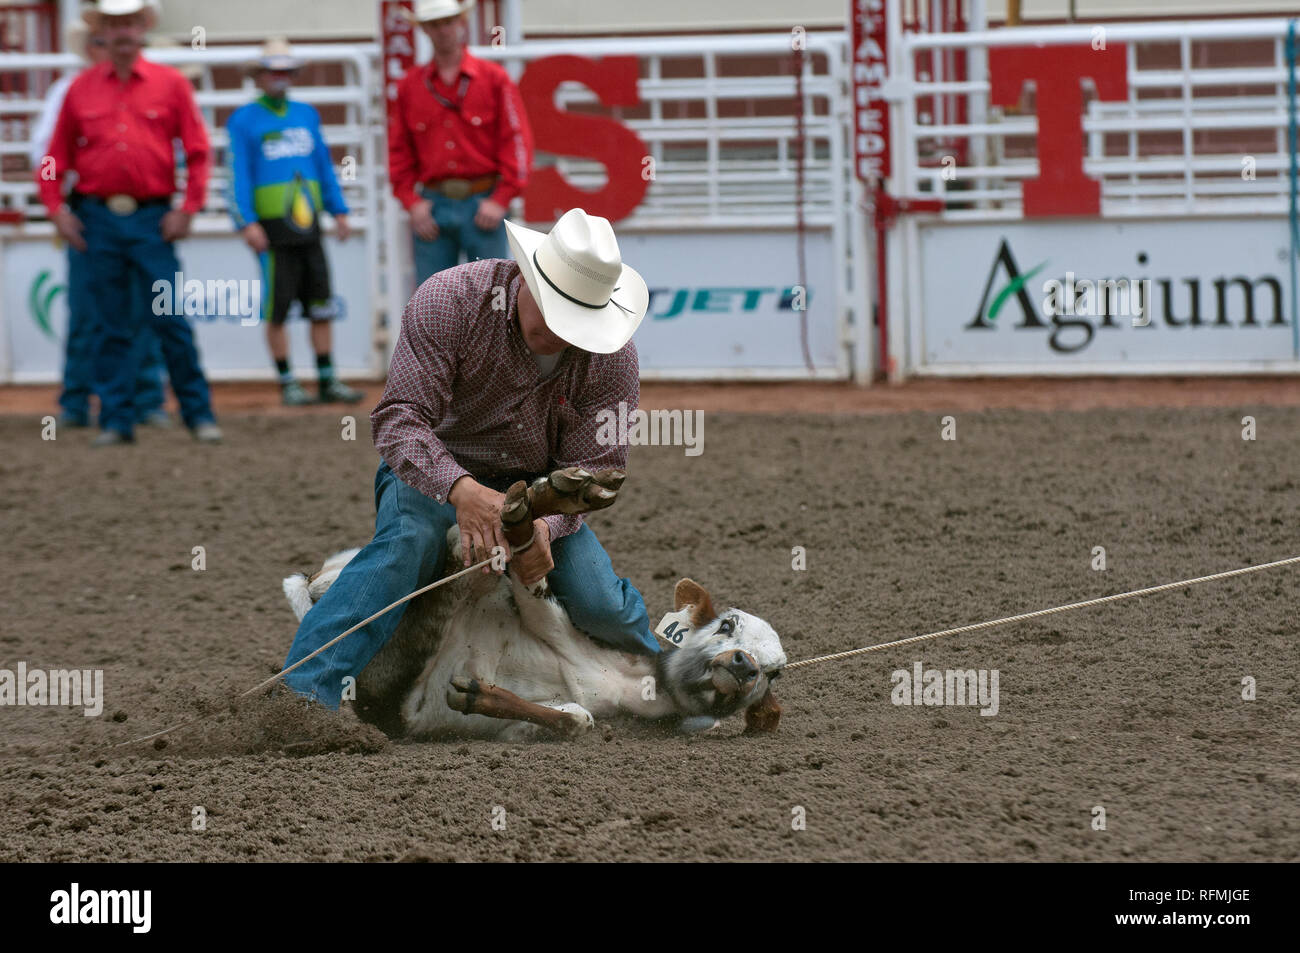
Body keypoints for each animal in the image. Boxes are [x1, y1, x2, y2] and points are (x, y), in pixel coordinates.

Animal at [282, 468, 780, 743]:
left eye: (774, 673)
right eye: (727, 625)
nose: (744, 665)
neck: (637, 682)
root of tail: (311, 591)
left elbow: (576, 720)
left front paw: (478, 695)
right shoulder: (549, 621)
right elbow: (532, 589)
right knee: (467, 545)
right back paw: (549, 496)